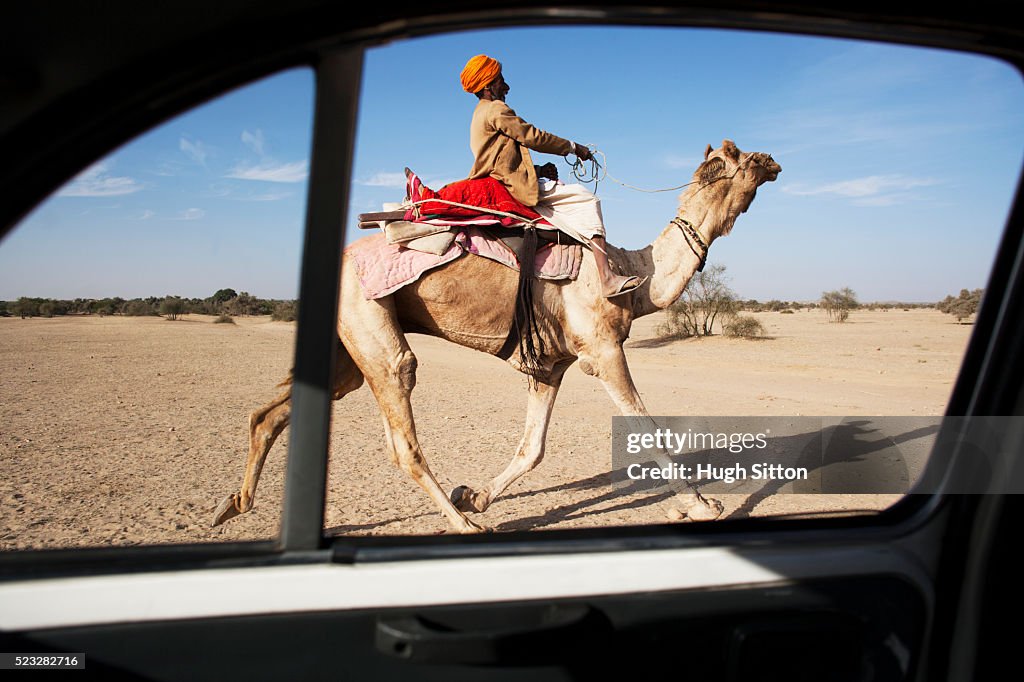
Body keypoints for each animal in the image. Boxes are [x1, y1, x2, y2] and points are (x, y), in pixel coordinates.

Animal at [211, 139, 778, 532]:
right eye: (739, 155)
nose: (773, 159)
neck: (636, 275)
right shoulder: (602, 349)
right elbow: (648, 428)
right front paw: (703, 505)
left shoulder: (551, 365)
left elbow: (534, 447)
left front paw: (476, 495)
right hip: (368, 319)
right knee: (401, 421)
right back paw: (462, 525)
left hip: (345, 346)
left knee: (273, 412)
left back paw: (232, 505)